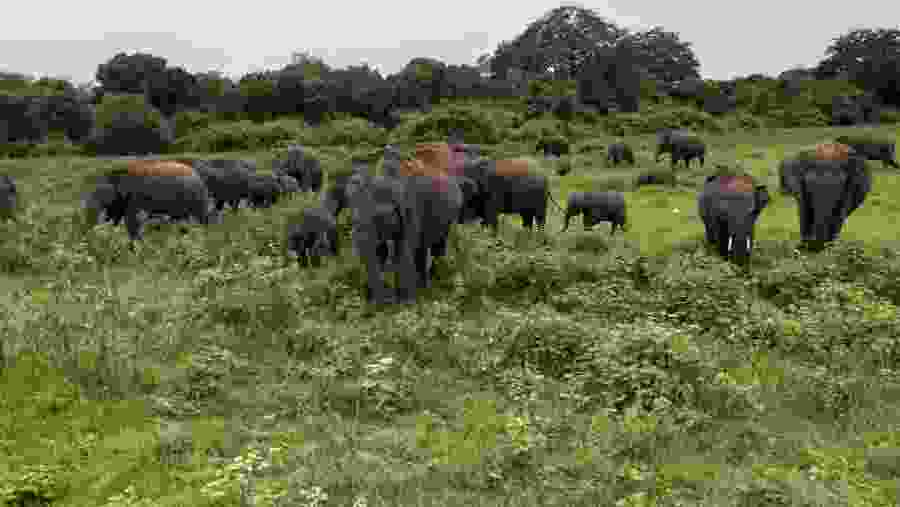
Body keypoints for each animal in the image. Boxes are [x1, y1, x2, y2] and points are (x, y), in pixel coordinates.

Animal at [346, 171, 463, 304]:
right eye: (353, 219)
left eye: (379, 217)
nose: (387, 300)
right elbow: (380, 252)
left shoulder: (411, 213)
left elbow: (402, 253)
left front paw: (405, 303)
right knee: (421, 250)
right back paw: (423, 289)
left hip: (449, 219)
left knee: (437, 247)